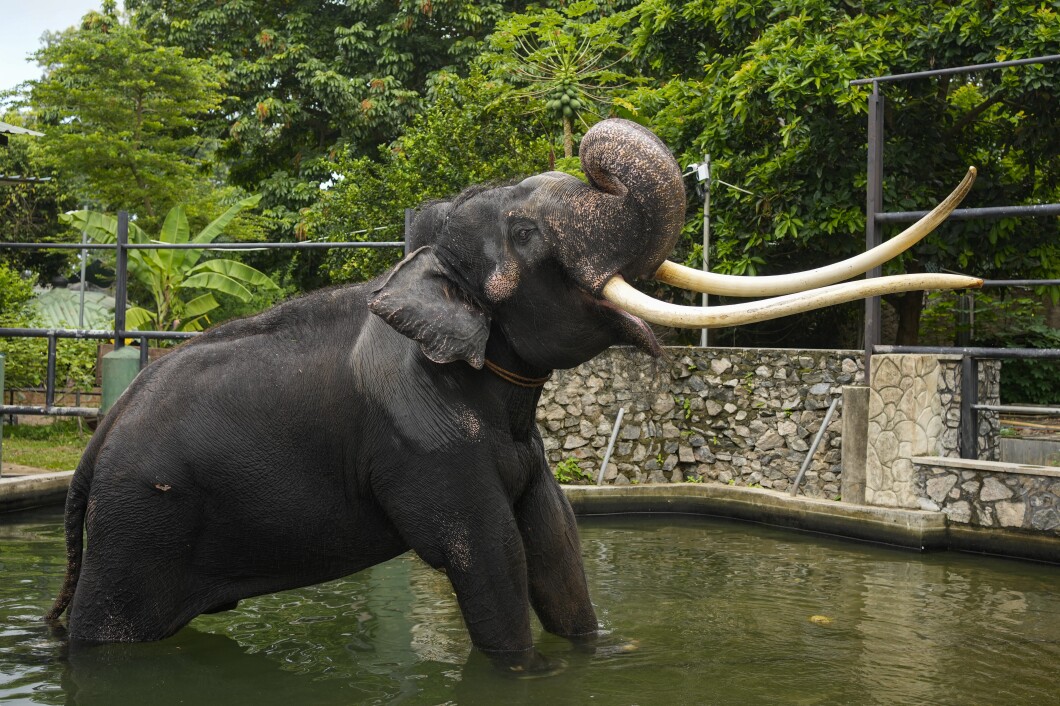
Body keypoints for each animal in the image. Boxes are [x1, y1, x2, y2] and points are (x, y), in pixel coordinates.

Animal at [47, 116, 975, 669]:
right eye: (527, 233)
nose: (590, 152)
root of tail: (93, 447)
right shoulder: (421, 445)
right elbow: (490, 557)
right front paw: (523, 670)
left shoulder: (523, 449)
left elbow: (558, 545)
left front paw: (602, 657)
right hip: (139, 524)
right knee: (111, 628)